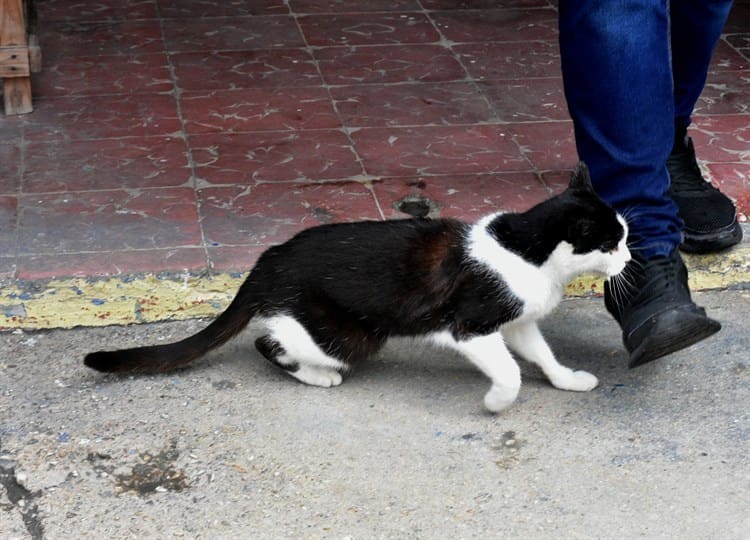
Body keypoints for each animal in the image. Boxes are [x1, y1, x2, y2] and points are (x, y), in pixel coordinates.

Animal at [85, 162, 632, 412]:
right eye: (613, 242)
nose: (630, 257)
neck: (529, 252)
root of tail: (268, 258)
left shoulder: (516, 320)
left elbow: (539, 354)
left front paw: (567, 380)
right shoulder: (469, 324)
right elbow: (511, 371)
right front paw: (498, 402)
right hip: (349, 333)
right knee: (269, 341)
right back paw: (316, 375)